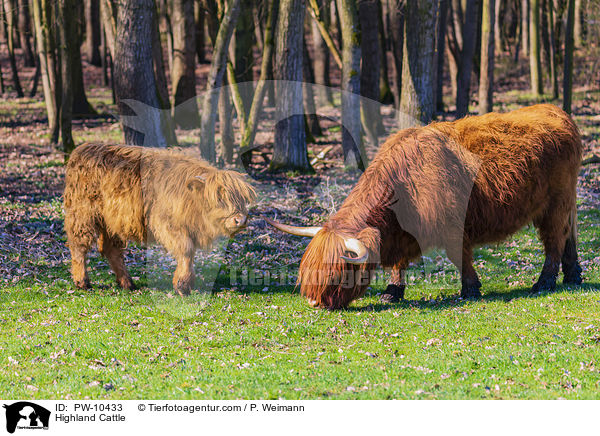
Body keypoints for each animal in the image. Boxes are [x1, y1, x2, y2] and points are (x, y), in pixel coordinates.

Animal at [63, 142, 255, 292]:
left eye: (241, 198)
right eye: (219, 197)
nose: (240, 220)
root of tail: (82, 149)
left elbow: (190, 252)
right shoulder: (168, 225)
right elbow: (186, 249)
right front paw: (182, 285)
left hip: (113, 221)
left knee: (112, 250)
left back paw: (127, 283)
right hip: (82, 215)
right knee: (79, 245)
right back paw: (82, 282)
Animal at [266, 104, 580, 310]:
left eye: (337, 273)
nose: (314, 302)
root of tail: (557, 111)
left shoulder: (453, 225)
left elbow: (459, 256)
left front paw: (470, 289)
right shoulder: (402, 231)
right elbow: (399, 263)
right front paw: (392, 292)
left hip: (555, 204)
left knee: (554, 240)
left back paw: (544, 283)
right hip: (567, 203)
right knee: (570, 237)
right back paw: (573, 276)